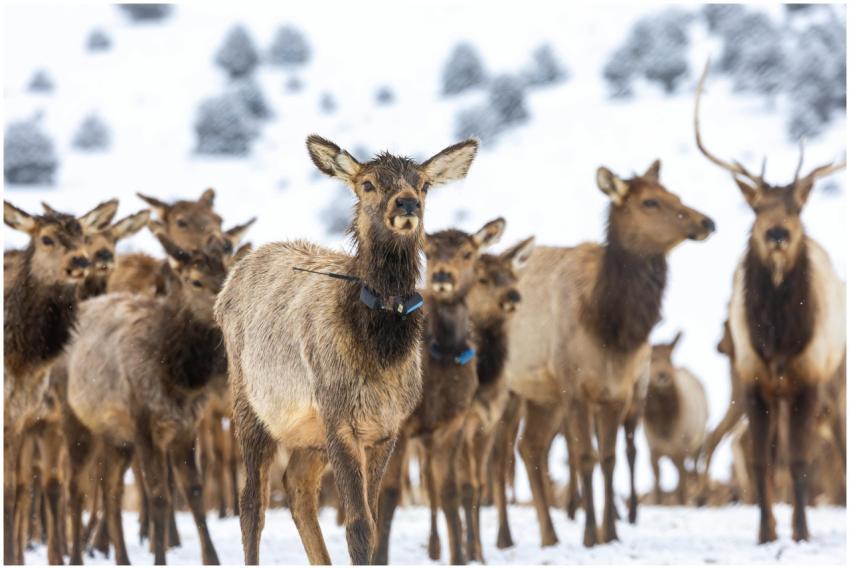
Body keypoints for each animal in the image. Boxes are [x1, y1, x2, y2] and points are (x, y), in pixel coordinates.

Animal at [62, 234, 238, 565]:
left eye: (225, 271)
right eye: (195, 280)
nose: (226, 308)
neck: (178, 378)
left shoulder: (186, 427)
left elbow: (194, 492)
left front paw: (212, 558)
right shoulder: (144, 424)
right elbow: (158, 494)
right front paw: (160, 556)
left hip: (117, 437)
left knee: (111, 489)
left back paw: (121, 557)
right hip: (77, 422)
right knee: (76, 489)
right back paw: (77, 557)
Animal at [215, 135, 479, 564]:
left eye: (423, 184)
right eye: (368, 183)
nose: (407, 203)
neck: (381, 351)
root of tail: (231, 278)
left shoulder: (386, 429)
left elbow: (372, 519)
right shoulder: (340, 418)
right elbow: (358, 526)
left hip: (309, 432)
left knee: (297, 487)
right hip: (250, 405)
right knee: (251, 503)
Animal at [373, 218, 506, 565]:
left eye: (468, 252)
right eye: (429, 251)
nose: (442, 276)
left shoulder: (452, 425)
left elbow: (449, 493)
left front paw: (459, 556)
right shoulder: (402, 425)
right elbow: (389, 494)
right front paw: (379, 557)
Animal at [643, 332, 709, 505]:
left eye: (669, 358)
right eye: (651, 358)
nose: (662, 375)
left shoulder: (680, 449)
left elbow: (681, 488)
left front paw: (682, 503)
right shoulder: (653, 450)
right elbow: (657, 487)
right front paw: (658, 502)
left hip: (696, 442)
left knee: (692, 469)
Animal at [694, 61, 846, 543]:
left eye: (796, 208)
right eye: (756, 208)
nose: (777, 233)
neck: (778, 337)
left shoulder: (809, 379)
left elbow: (799, 458)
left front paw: (801, 530)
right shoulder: (753, 379)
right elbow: (763, 458)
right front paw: (766, 531)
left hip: (836, 379)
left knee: (838, 440)